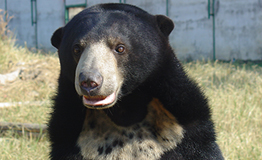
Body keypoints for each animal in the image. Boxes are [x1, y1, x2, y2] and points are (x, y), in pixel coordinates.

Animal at [48, 2, 223, 160]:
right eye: (77, 49)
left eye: (120, 48)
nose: (90, 82)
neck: (126, 110)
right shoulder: (71, 138)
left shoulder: (183, 131)